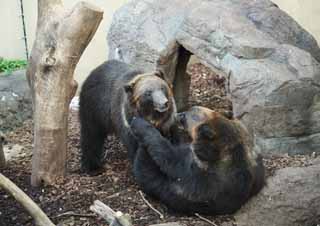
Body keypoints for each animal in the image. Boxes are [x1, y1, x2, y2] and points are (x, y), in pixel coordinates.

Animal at [130, 106, 264, 215]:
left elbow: (170, 158)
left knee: (146, 170)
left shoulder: (202, 170)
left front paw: (141, 124)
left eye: (185, 116)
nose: (178, 114)